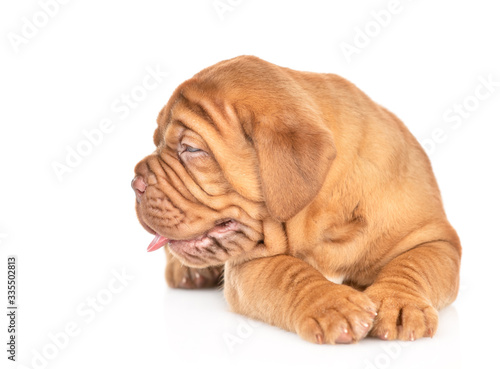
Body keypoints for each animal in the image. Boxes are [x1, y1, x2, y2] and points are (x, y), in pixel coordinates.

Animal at [132, 56, 460, 344]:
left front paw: (400, 304)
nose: (134, 183)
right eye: (156, 141)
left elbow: (413, 264)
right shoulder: (250, 263)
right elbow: (290, 273)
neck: (326, 214)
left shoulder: (435, 239)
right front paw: (332, 305)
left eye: (191, 149)